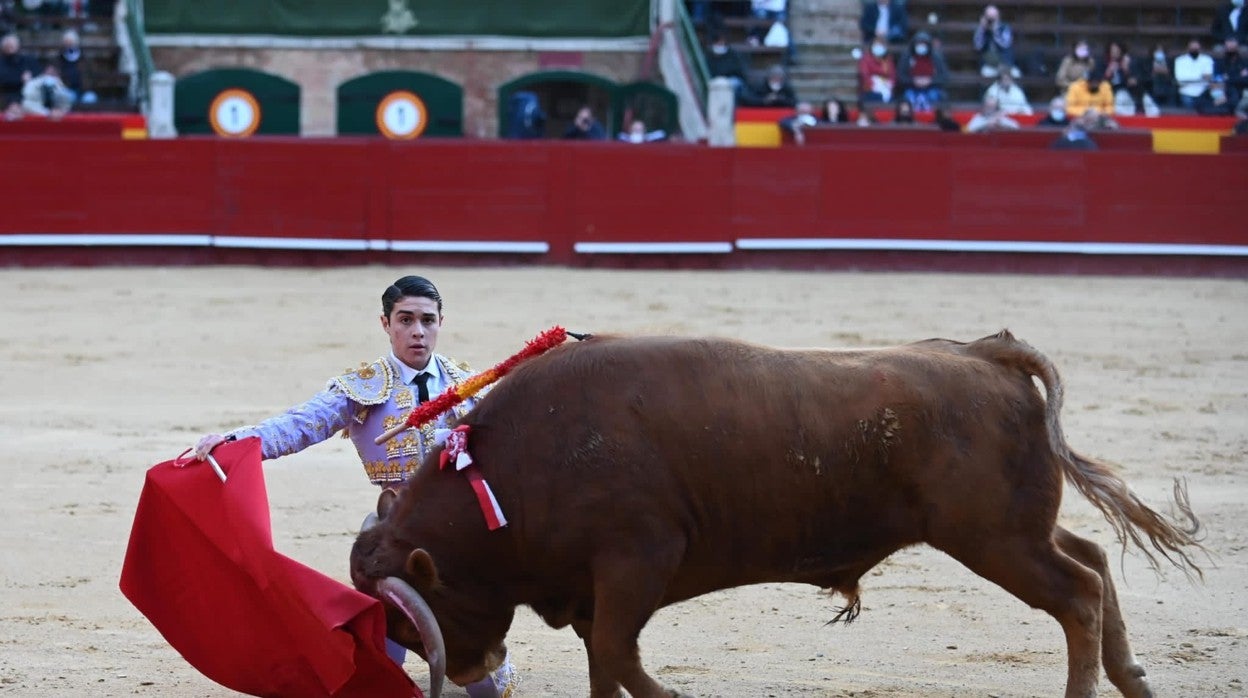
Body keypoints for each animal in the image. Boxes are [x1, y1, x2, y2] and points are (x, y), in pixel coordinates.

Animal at [349, 332, 1198, 698]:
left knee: (1077, 593)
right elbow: (602, 665)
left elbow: (620, 657)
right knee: (1092, 560)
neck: (510, 468)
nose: (471, 671)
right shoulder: (595, 589)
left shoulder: (634, 562)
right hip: (1017, 529)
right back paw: (1134, 681)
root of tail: (983, 354)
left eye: (415, 621)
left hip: (993, 538)